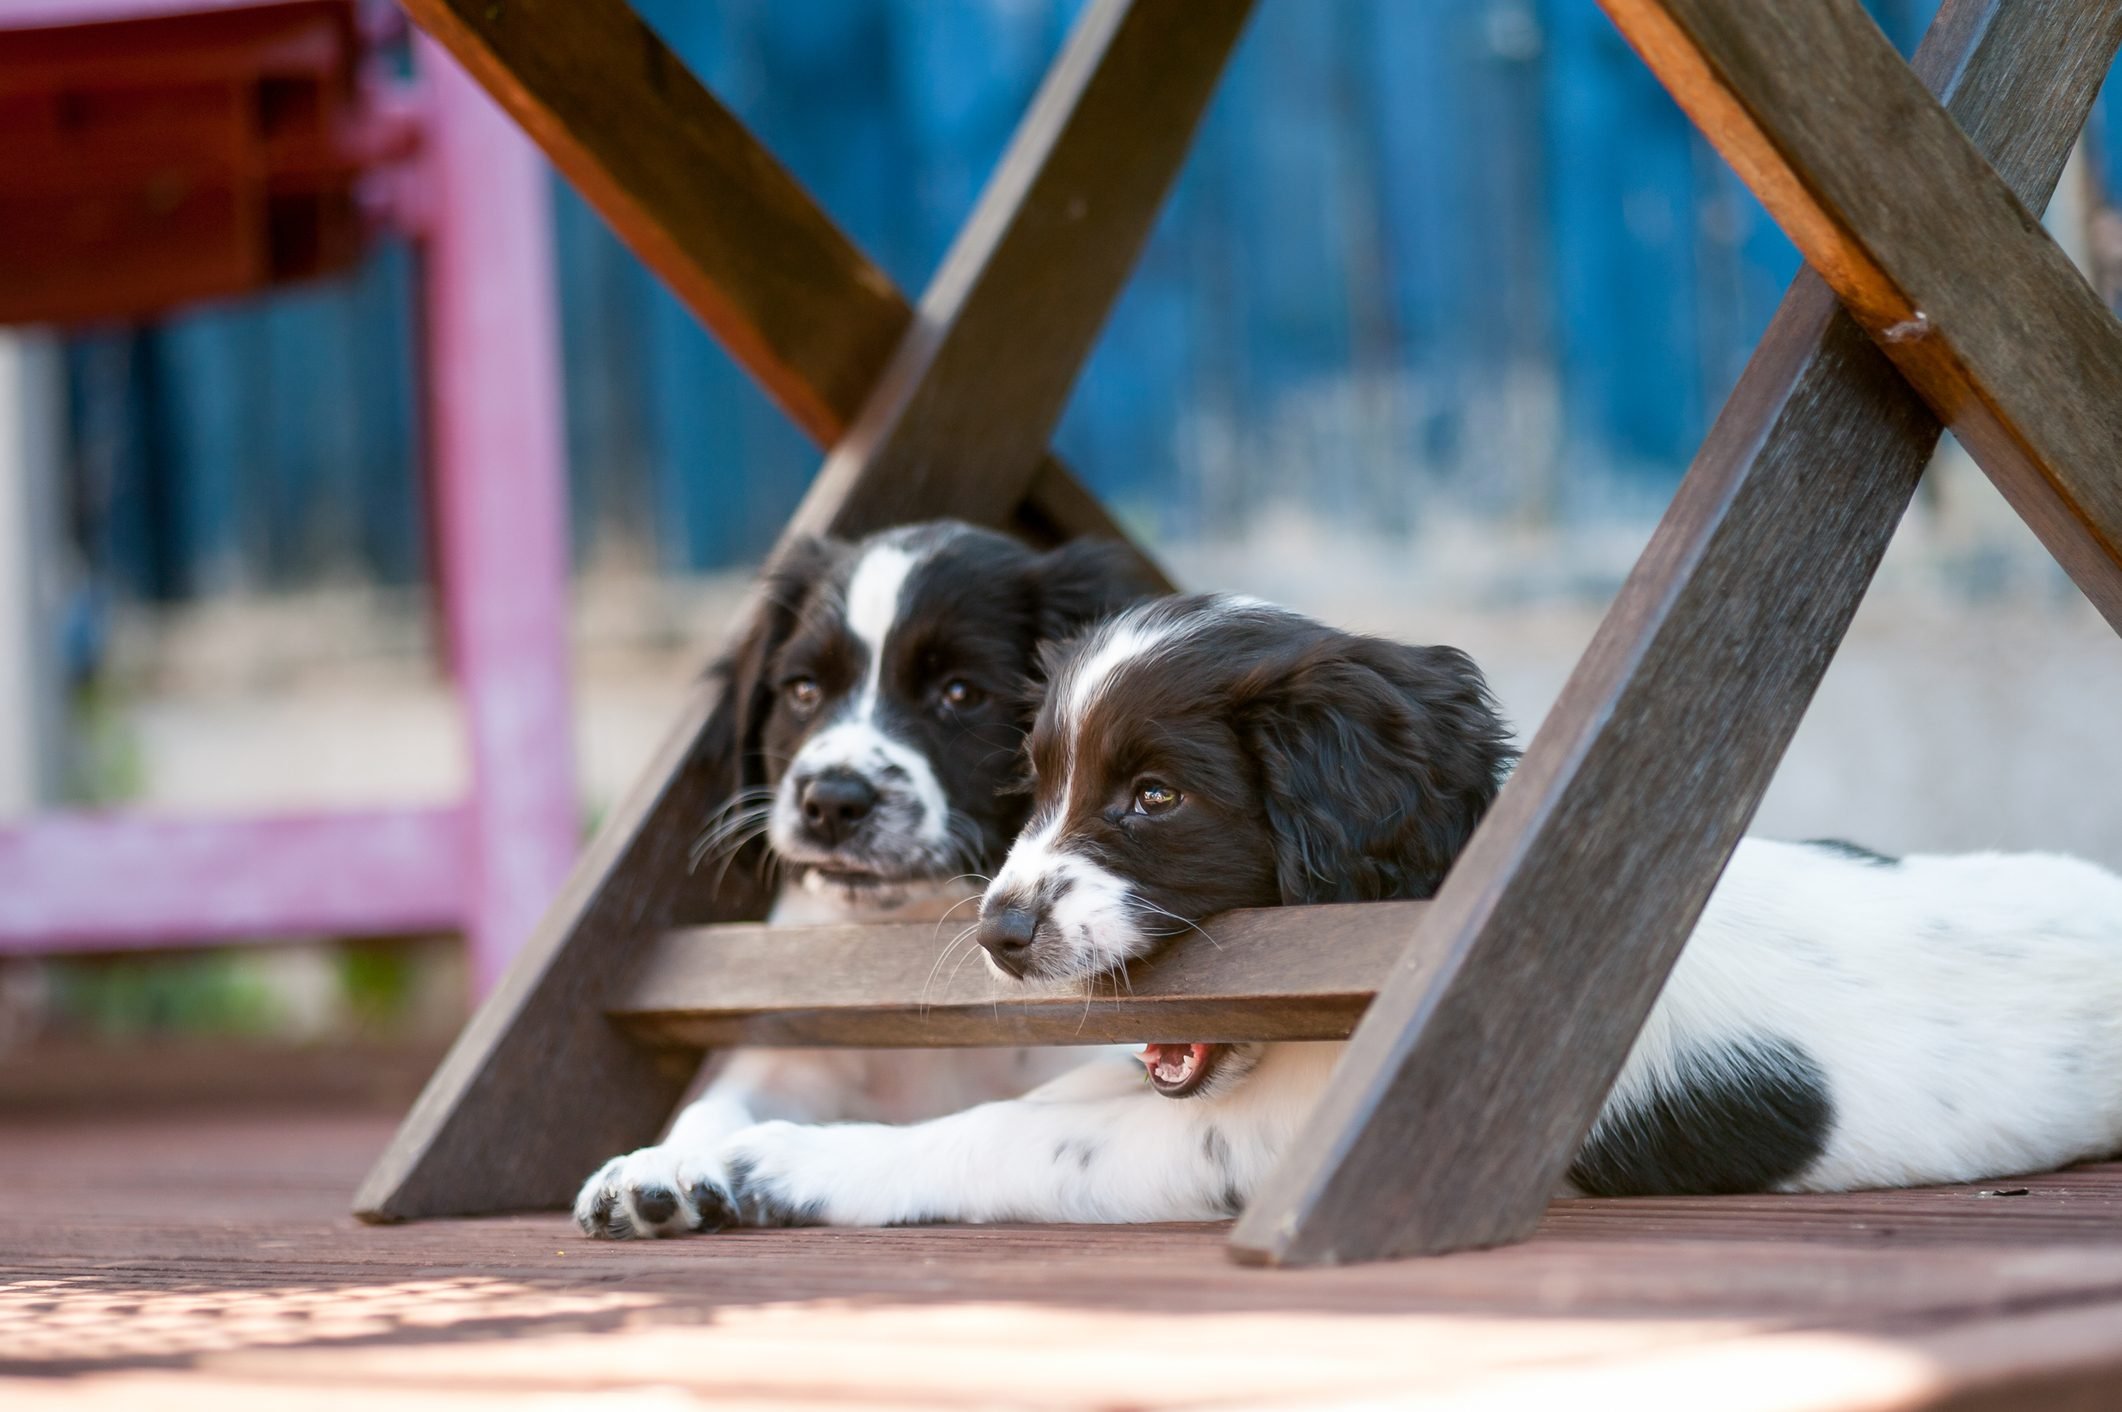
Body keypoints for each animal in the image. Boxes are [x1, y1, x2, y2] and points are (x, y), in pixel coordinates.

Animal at [572, 520, 1154, 1231]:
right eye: (803, 690)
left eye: (961, 693)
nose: (831, 801)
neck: (907, 929)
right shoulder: (796, 1059)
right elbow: (719, 1100)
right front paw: (659, 1162)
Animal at [640, 594, 2122, 1223]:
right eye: (1037, 784)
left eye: (1155, 799)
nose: (997, 938)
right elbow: (1043, 1096)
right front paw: (688, 1164)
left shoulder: (1285, 1136)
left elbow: (1010, 1136)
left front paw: (787, 1168)